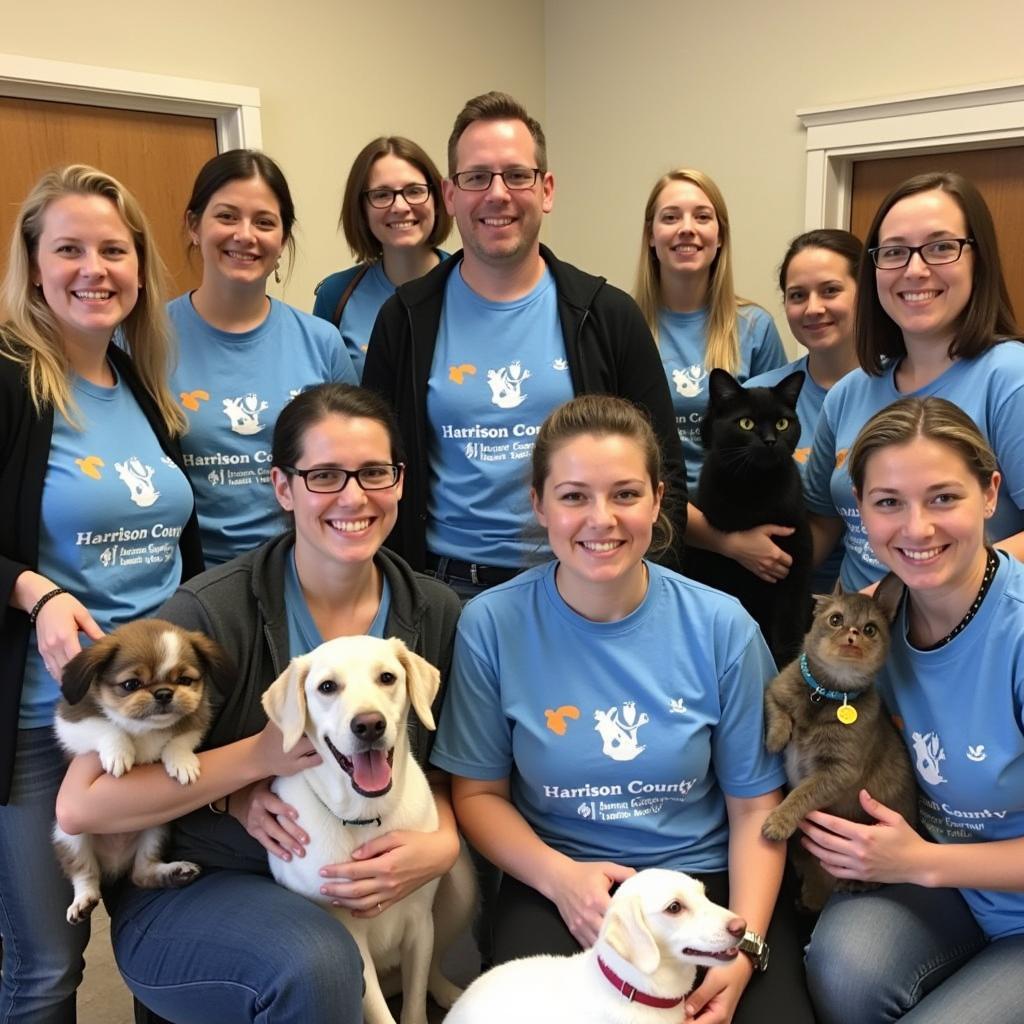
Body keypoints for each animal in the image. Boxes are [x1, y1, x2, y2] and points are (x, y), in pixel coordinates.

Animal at [52, 618, 226, 925]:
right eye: (131, 684)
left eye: (184, 680)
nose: (164, 693)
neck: (145, 727)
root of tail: (114, 864)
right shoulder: (70, 722)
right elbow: (107, 726)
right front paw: (119, 752)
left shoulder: (198, 715)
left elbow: (182, 735)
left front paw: (181, 761)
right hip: (68, 836)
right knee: (86, 874)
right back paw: (83, 902)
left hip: (156, 831)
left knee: (142, 874)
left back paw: (176, 872)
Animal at [260, 634, 475, 1024]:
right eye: (327, 687)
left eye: (387, 677)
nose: (369, 725)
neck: (367, 816)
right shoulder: (352, 939)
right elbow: (380, 1013)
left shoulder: (420, 924)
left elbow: (415, 1001)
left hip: (460, 891)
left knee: (434, 964)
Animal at [684, 368, 811, 663]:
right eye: (746, 423)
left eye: (782, 424)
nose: (770, 441)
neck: (755, 490)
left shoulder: (796, 568)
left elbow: (787, 633)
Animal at [761, 577, 921, 913]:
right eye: (836, 619)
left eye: (870, 628)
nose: (853, 633)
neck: (824, 694)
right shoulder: (776, 689)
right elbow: (778, 712)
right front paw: (777, 738)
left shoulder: (838, 772)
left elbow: (800, 794)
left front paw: (779, 821)